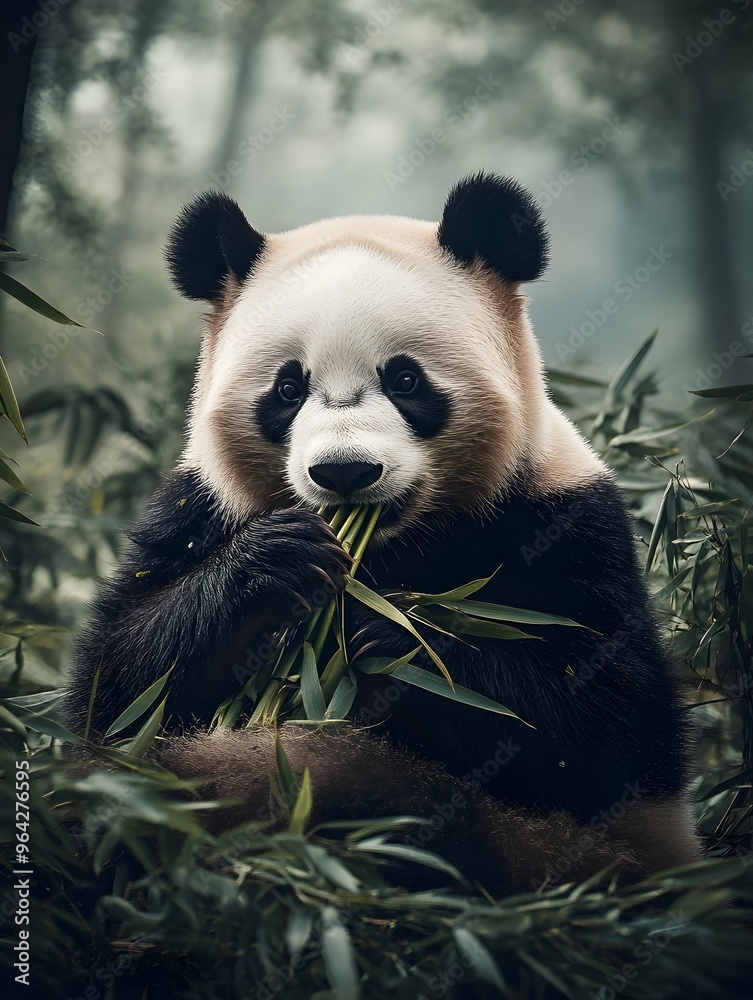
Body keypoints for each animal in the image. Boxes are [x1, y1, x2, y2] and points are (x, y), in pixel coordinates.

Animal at [65, 172, 700, 892]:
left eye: (404, 379)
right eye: (288, 388)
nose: (344, 471)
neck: (395, 545)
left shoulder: (566, 521)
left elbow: (611, 728)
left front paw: (388, 642)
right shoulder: (198, 509)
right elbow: (116, 690)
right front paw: (274, 565)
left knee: (389, 802)